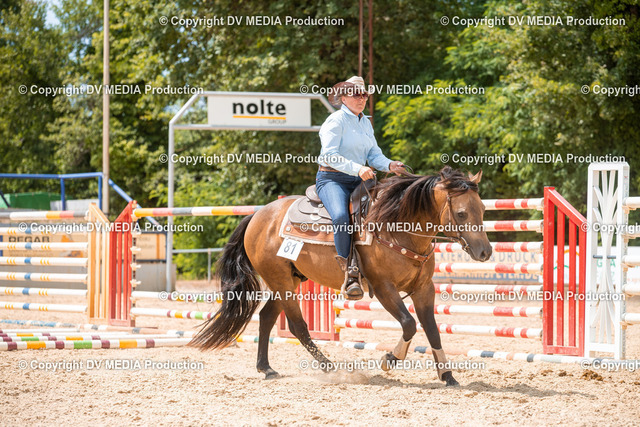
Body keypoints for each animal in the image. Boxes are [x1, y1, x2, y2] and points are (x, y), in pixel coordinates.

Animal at [189, 166, 492, 386]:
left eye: (483, 209)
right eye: (461, 213)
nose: (485, 251)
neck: (396, 225)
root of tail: (257, 216)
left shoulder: (424, 289)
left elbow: (432, 330)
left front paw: (447, 375)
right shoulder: (384, 288)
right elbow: (409, 324)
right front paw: (390, 358)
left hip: (287, 280)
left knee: (266, 318)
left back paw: (267, 368)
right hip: (281, 282)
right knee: (298, 327)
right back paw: (329, 368)